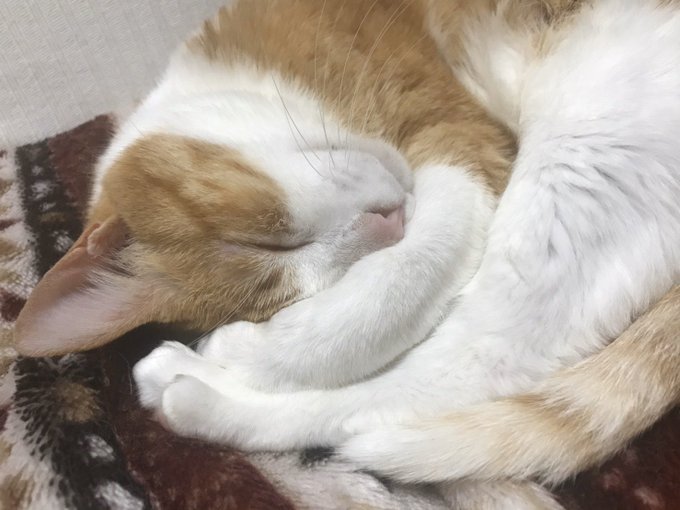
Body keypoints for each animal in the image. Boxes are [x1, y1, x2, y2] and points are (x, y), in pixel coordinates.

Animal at [13, 0, 680, 508]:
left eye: (268, 237)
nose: (386, 223)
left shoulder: (457, 138)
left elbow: (388, 292)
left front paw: (245, 352)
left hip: (585, 154)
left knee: (470, 363)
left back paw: (196, 384)